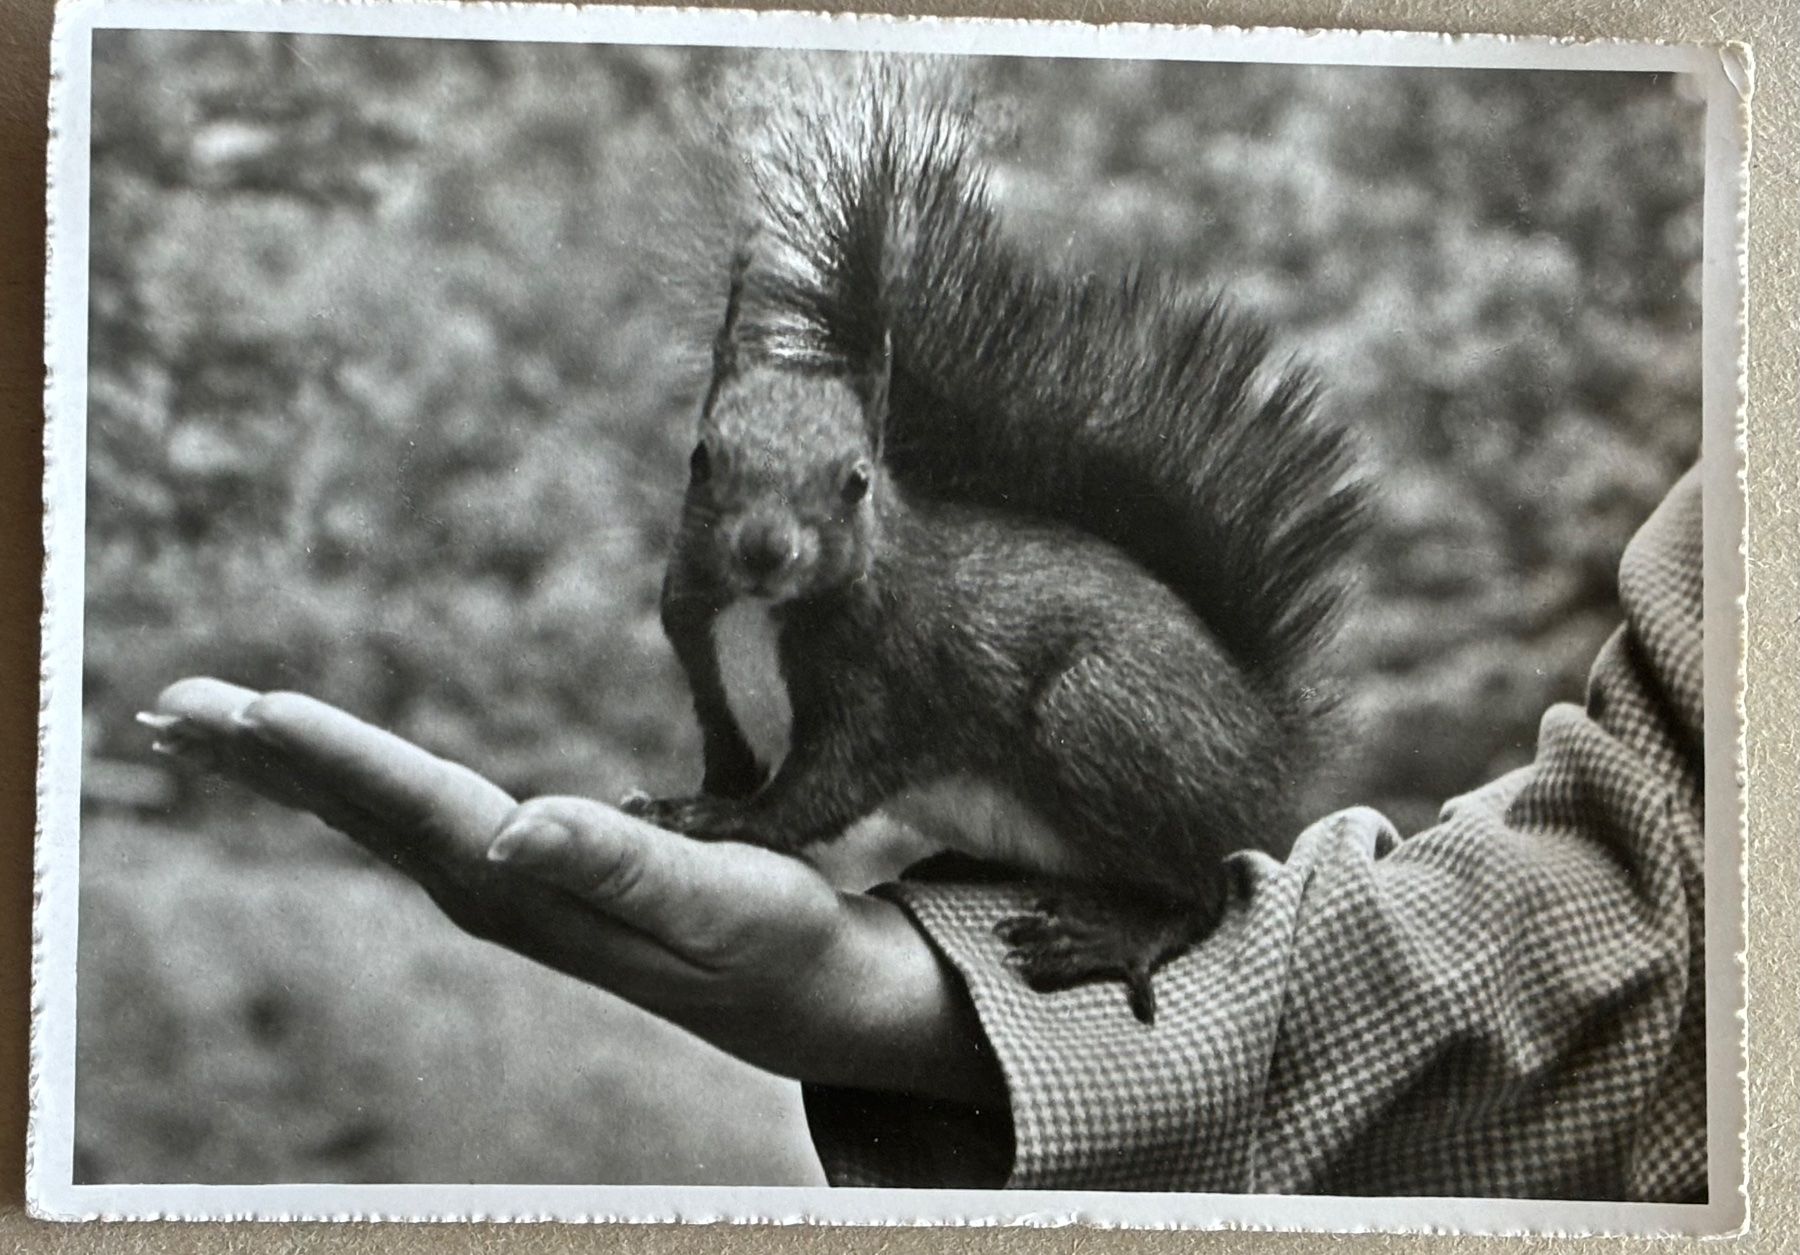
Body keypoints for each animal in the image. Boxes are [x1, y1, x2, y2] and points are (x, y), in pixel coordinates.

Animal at [622, 56, 1367, 1023]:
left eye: (857, 480)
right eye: (702, 458)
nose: (764, 550)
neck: (759, 613)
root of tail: (1272, 754)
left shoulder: (893, 680)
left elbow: (820, 790)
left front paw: (728, 822)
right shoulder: (705, 665)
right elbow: (730, 756)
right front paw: (687, 799)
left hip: (1106, 717)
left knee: (1204, 888)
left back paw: (1112, 933)